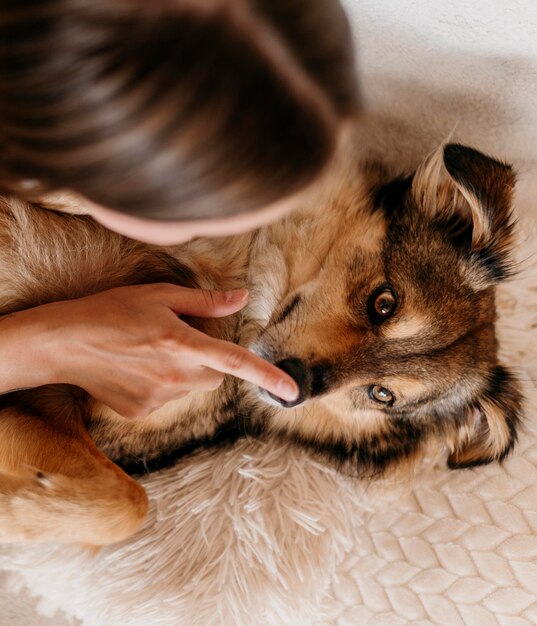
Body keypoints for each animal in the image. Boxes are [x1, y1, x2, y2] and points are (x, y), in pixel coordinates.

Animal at [0, 135, 524, 540]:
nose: (293, 387)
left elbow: (128, 502)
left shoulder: (56, 406)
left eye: (383, 395)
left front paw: (14, 515)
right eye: (385, 303)